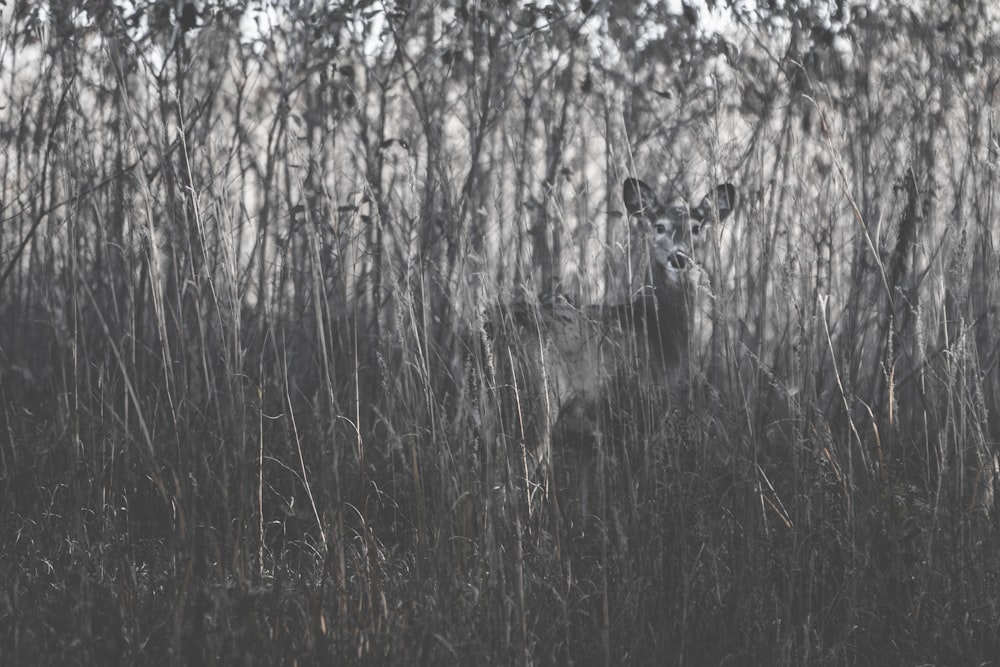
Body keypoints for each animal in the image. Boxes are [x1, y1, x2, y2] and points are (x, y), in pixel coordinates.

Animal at [476, 177, 736, 532]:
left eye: (697, 228)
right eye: (659, 226)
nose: (679, 257)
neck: (659, 332)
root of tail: (494, 326)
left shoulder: (587, 438)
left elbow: (586, 501)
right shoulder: (637, 418)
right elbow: (632, 493)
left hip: (492, 412)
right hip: (533, 405)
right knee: (515, 486)